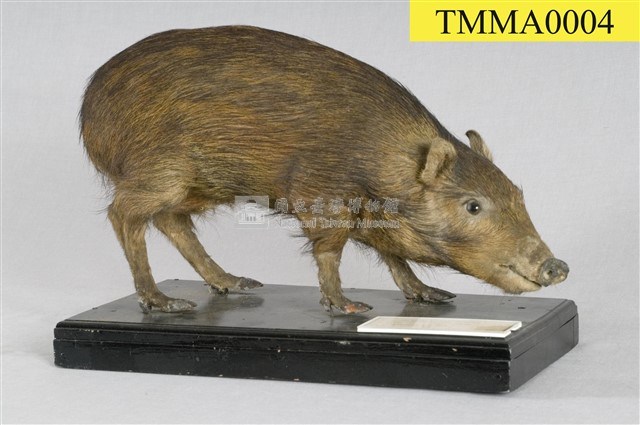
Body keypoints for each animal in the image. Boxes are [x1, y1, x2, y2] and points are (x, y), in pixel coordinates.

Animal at [80, 25, 569, 314]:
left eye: (518, 195)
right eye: (472, 206)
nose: (557, 266)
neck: (385, 162)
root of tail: (90, 109)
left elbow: (392, 255)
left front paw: (434, 296)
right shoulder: (321, 193)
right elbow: (330, 252)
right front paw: (349, 307)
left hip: (196, 185)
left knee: (173, 222)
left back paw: (238, 284)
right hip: (161, 169)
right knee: (125, 215)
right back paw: (166, 302)